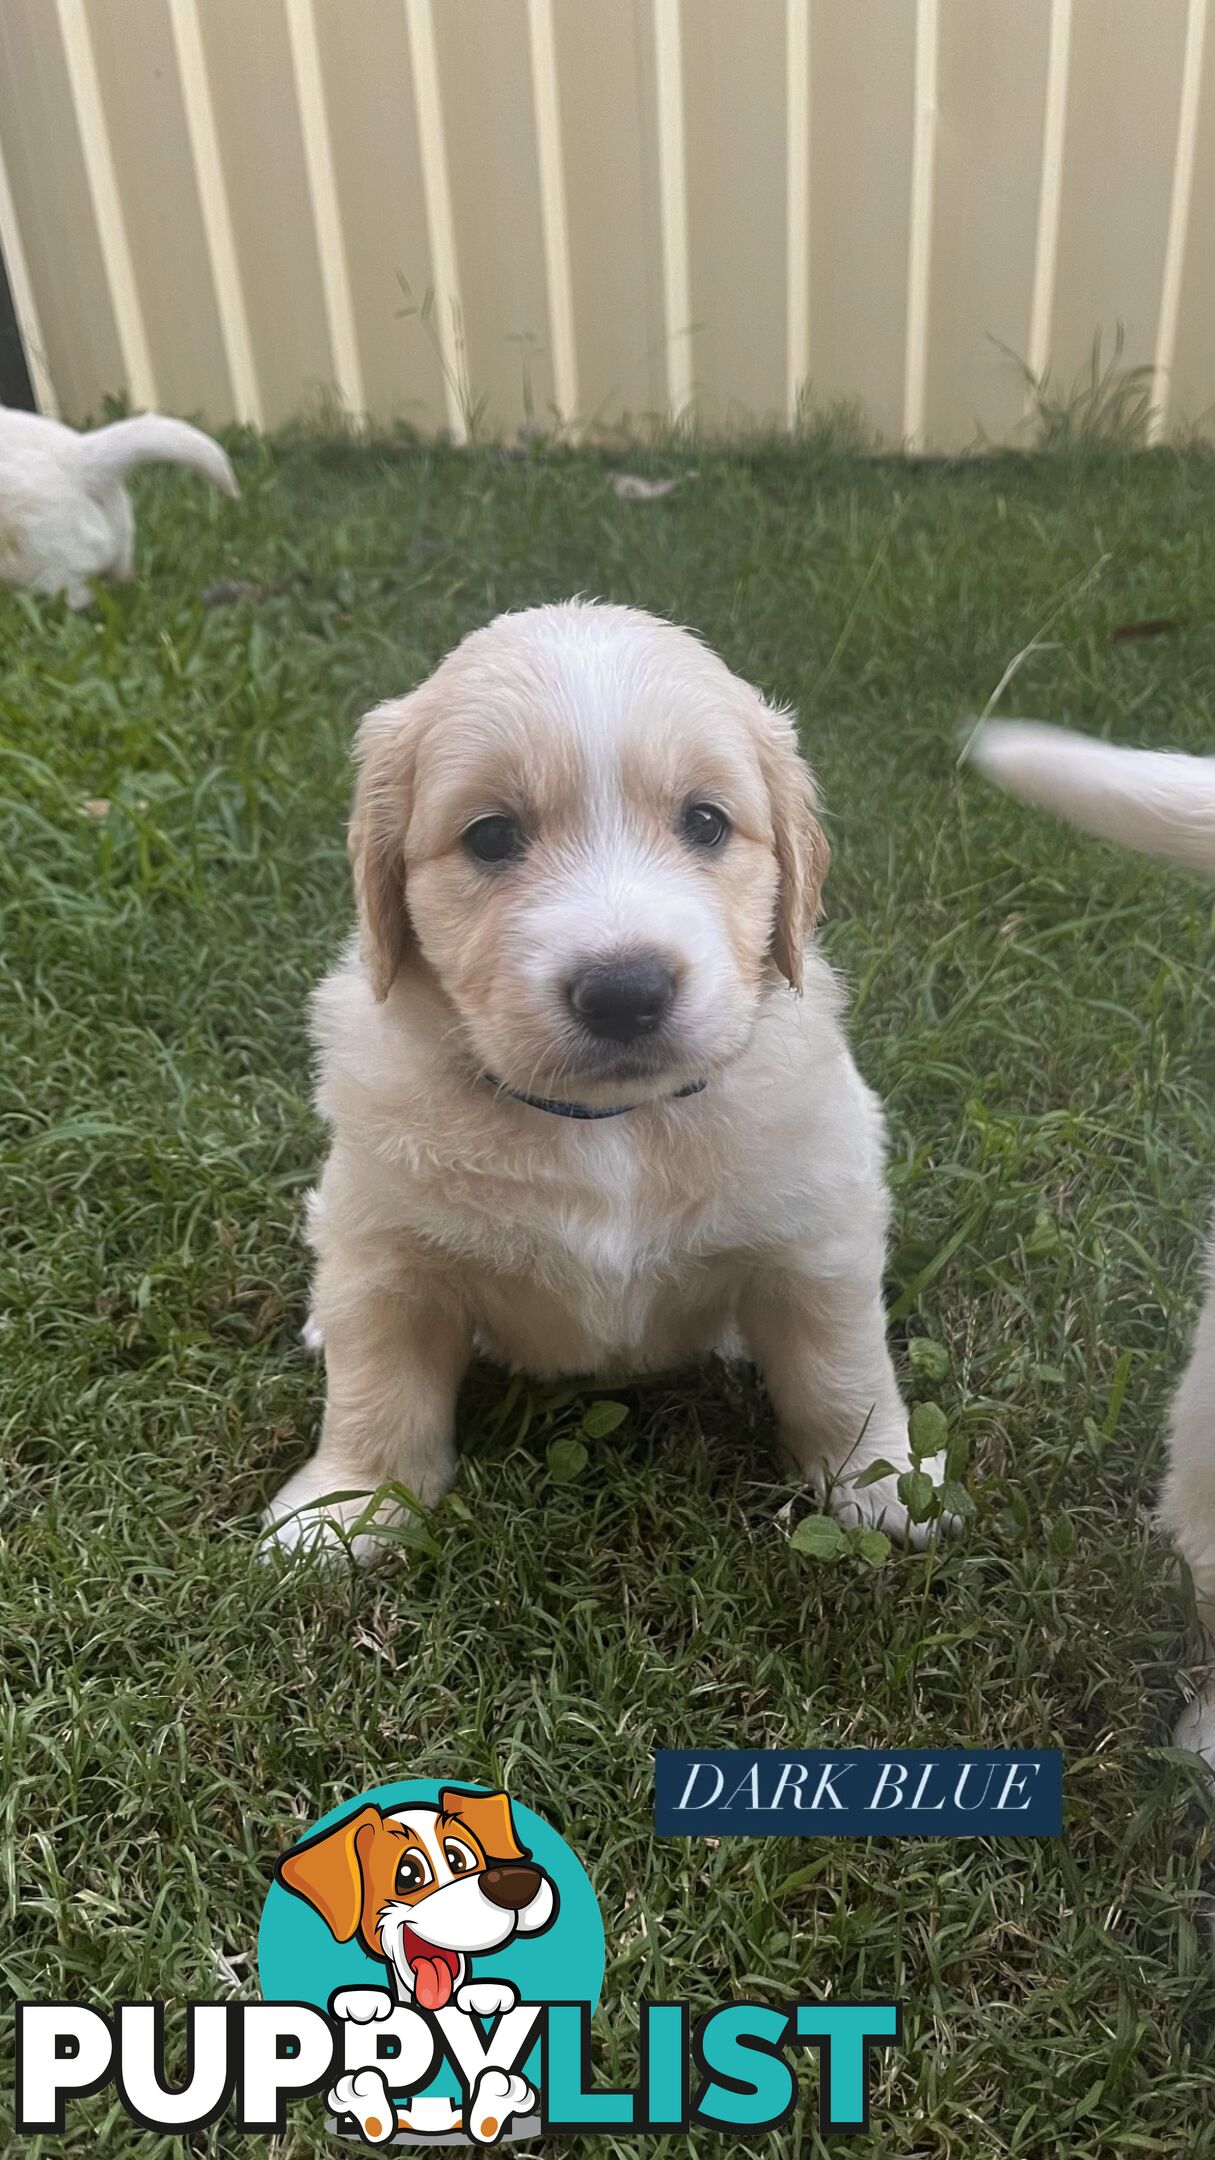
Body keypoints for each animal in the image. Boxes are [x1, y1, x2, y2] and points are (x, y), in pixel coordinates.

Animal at [264, 600, 946, 1563]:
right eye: (490, 836)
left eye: (705, 823)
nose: (625, 992)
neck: (608, 1125)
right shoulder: (390, 1258)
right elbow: (376, 1386)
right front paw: (347, 1505)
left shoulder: (815, 1239)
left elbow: (842, 1372)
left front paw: (880, 1484)